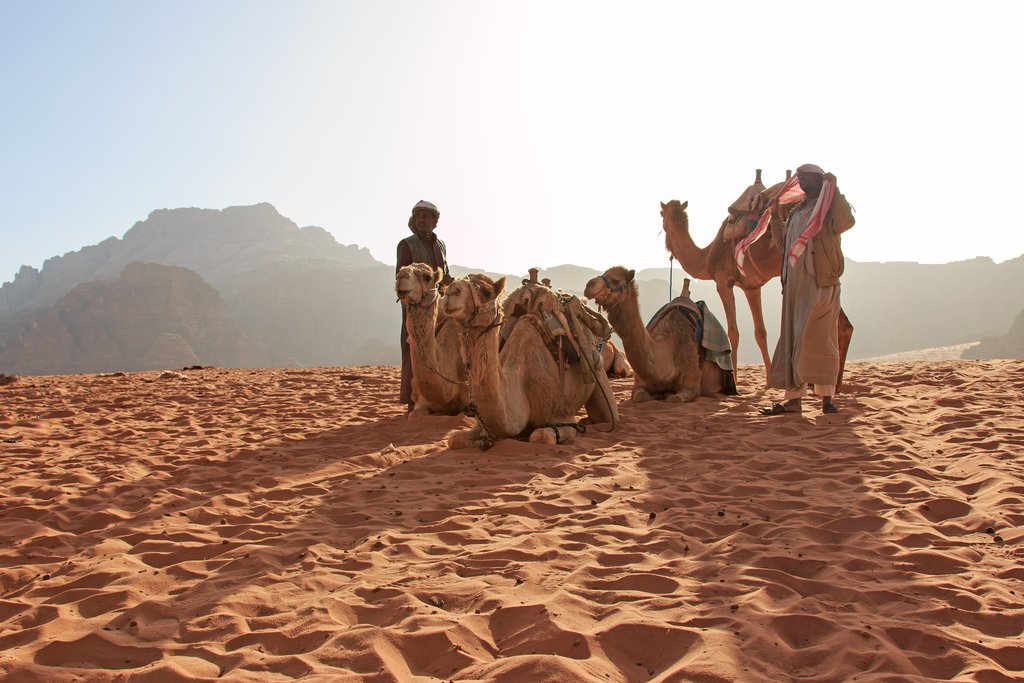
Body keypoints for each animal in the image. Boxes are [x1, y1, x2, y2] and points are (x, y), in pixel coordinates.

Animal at [440, 274, 617, 449]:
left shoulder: (562, 415)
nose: (451, 291)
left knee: (608, 417)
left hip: (598, 372)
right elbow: (454, 439)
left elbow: (540, 436)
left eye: (486, 291)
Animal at [584, 266, 726, 403]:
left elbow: (675, 398)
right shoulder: (640, 383)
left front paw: (667, 394)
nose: (589, 285)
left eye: (616, 280)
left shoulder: (691, 381)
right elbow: (640, 396)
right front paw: (658, 395)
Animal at [660, 185, 853, 390]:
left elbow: (733, 332)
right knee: (841, 323)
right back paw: (833, 382)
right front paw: (769, 380)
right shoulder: (751, 287)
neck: (707, 258)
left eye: (660, 213)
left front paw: (735, 379)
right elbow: (760, 332)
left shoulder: (723, 282)